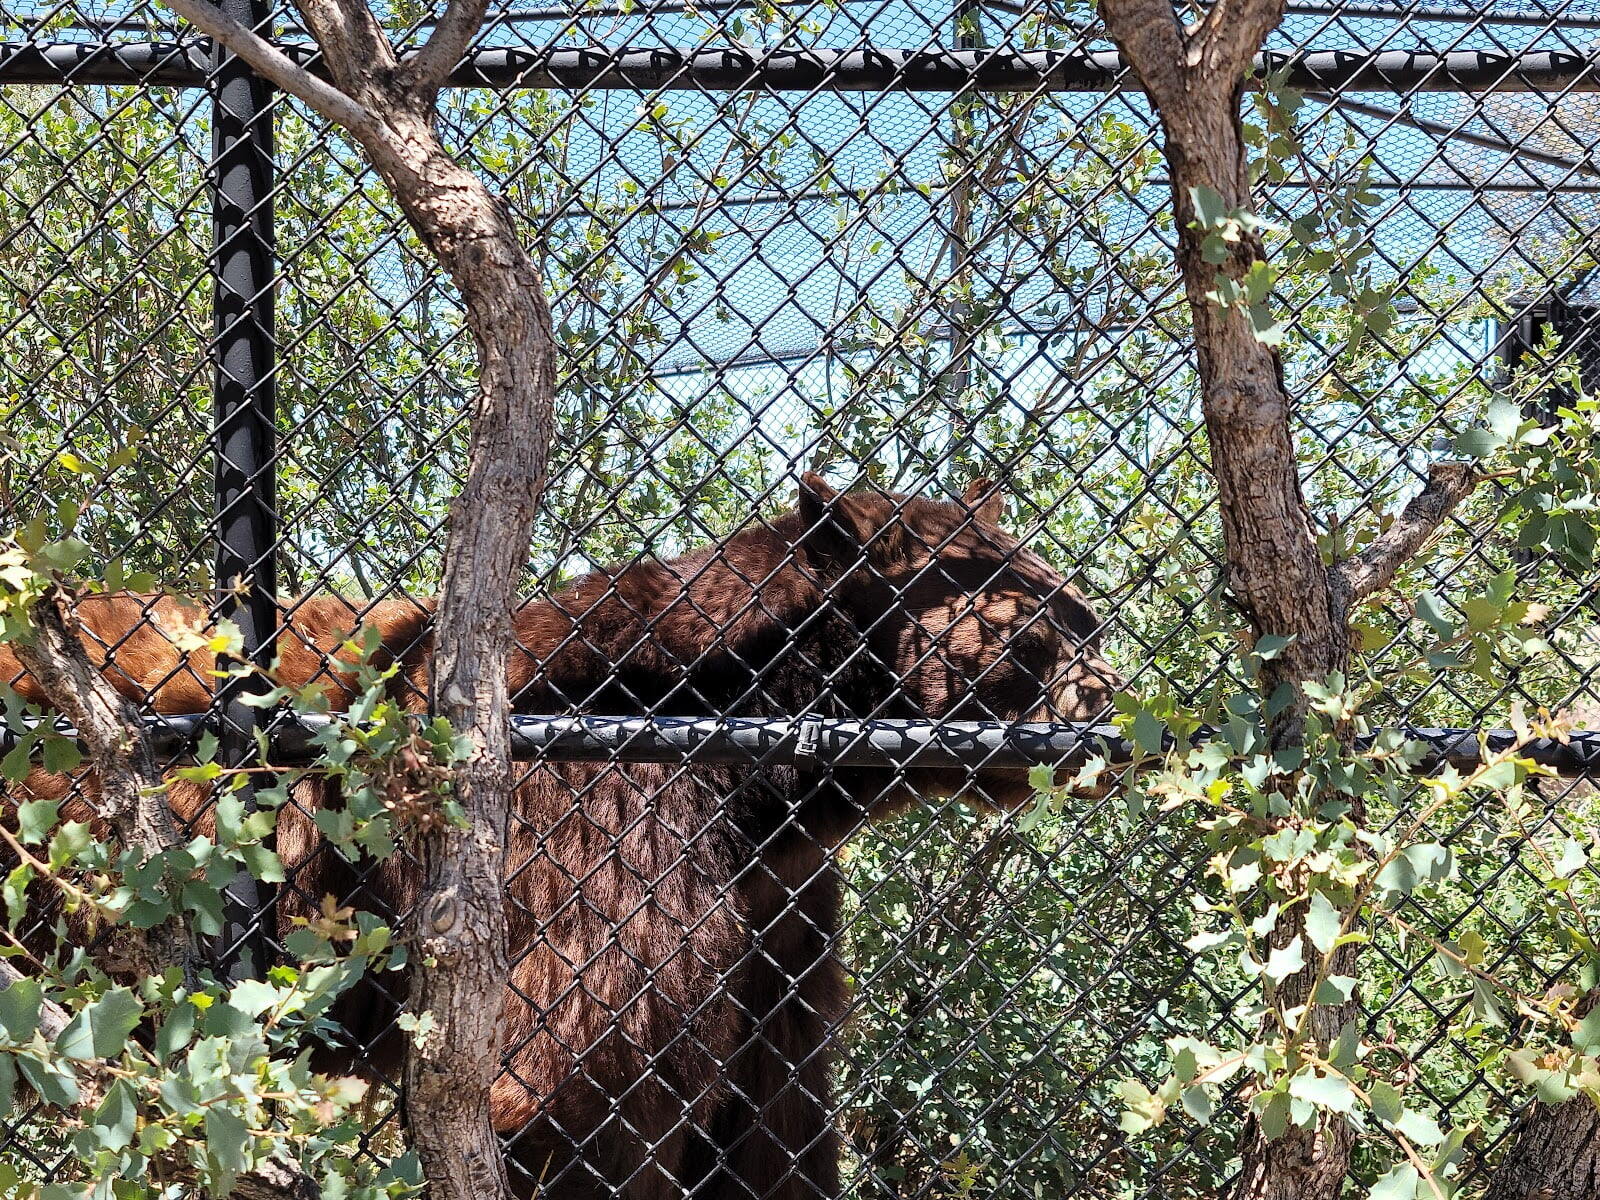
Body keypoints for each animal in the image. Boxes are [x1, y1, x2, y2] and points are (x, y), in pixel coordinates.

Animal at [3, 473, 1126, 1196]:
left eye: (1084, 611)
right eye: (1032, 620)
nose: (1110, 696)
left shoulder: (781, 933)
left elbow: (772, 1133)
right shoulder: (597, 878)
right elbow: (581, 1095)